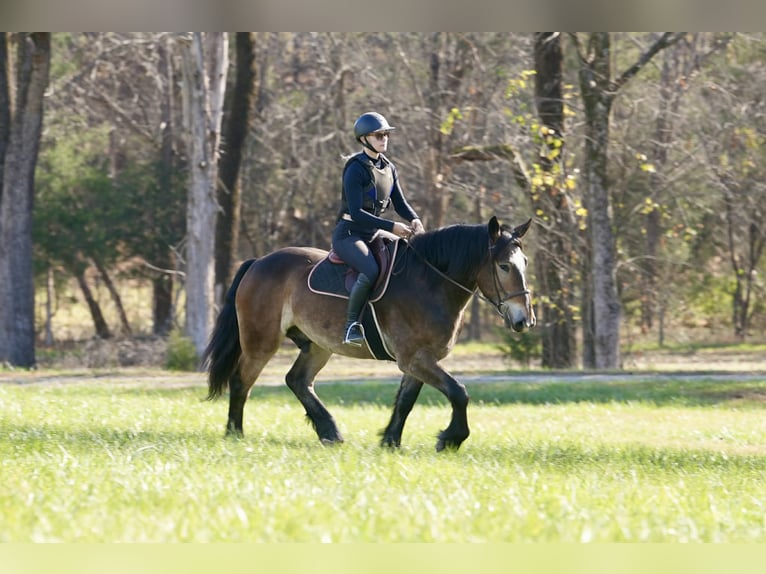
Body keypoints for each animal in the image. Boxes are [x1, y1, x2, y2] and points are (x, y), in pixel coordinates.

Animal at [202, 215, 535, 452]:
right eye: (504, 266)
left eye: (525, 263)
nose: (525, 320)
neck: (430, 282)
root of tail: (258, 262)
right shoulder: (415, 359)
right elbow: (459, 392)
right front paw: (451, 438)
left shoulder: (418, 361)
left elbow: (406, 401)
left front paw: (390, 441)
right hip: (261, 341)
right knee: (241, 381)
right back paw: (235, 434)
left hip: (318, 346)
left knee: (297, 380)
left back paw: (329, 431)